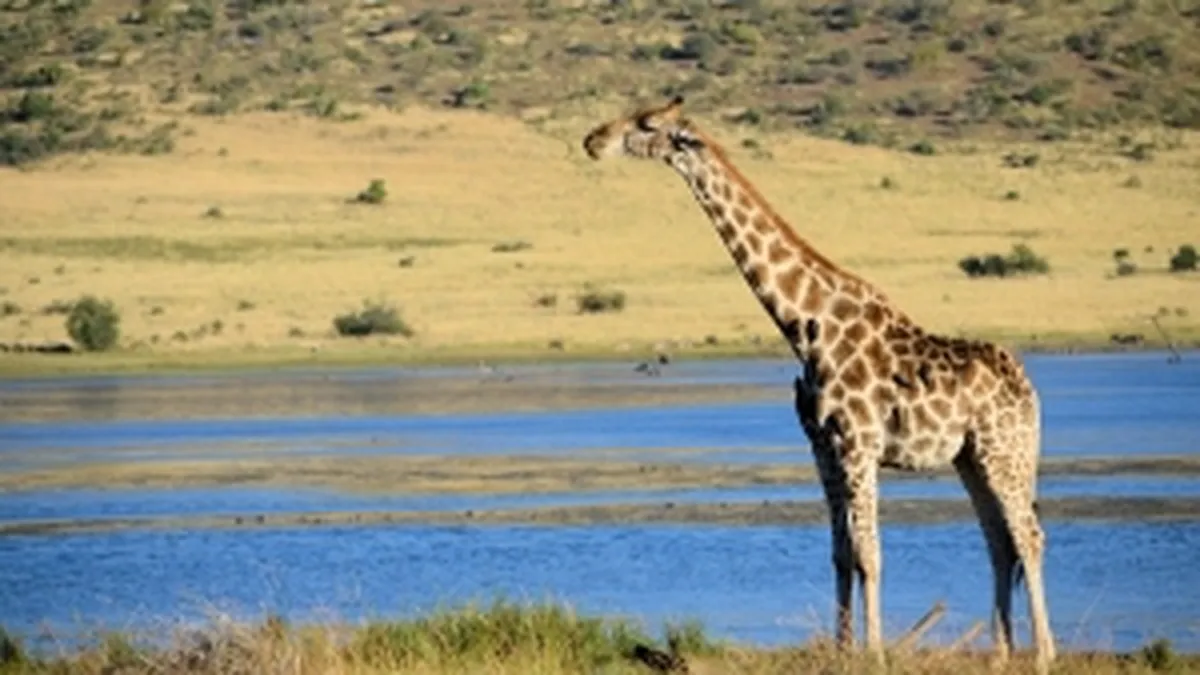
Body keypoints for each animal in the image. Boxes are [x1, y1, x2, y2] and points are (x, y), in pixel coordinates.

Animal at [582, 96, 1056, 672]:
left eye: (646, 124)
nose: (592, 140)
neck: (804, 323)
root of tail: (1029, 391)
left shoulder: (858, 443)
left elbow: (870, 554)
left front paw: (874, 653)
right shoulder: (822, 447)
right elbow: (840, 554)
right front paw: (842, 647)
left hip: (1004, 448)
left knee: (1028, 535)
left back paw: (1044, 654)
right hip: (972, 458)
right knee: (998, 541)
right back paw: (1001, 655)